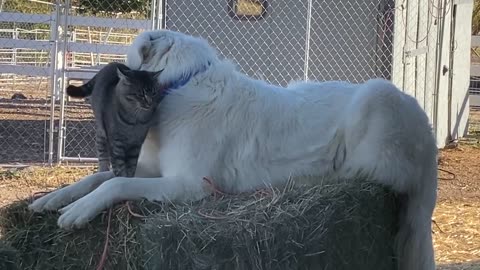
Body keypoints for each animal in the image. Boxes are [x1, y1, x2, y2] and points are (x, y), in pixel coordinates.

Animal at [28, 29, 436, 270]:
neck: (181, 85)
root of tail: (426, 124)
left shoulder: (189, 184)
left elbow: (114, 184)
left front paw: (77, 212)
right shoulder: (152, 170)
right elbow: (96, 177)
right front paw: (52, 199)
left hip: (376, 96)